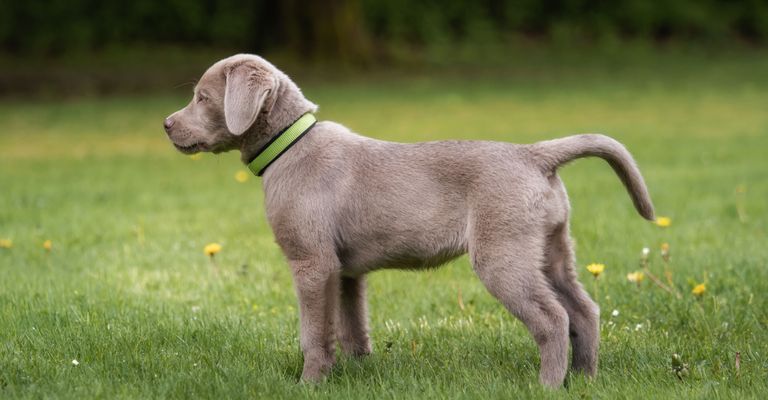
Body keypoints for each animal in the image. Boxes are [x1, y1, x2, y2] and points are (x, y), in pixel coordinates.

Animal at [162, 54, 656, 388]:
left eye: (202, 97)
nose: (166, 124)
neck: (289, 144)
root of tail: (534, 155)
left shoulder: (311, 262)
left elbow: (313, 333)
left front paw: (309, 383)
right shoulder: (345, 271)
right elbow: (351, 326)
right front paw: (357, 372)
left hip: (503, 254)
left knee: (553, 318)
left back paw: (549, 385)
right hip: (551, 248)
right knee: (584, 310)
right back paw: (586, 378)